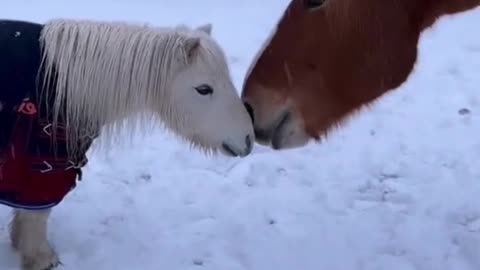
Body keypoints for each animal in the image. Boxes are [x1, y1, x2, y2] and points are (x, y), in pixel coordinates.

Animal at [5, 18, 253, 270]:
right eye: (203, 89)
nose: (248, 140)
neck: (58, 89)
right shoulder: (41, 172)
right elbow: (36, 217)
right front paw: (41, 258)